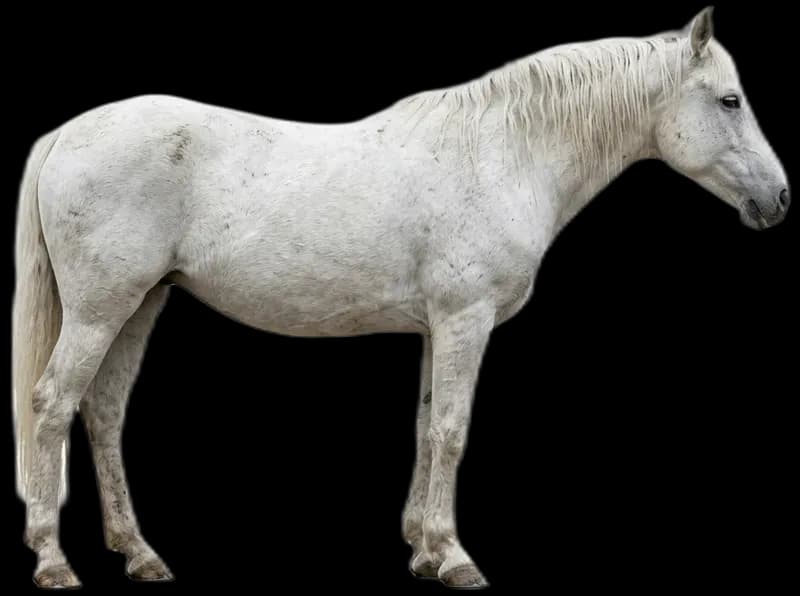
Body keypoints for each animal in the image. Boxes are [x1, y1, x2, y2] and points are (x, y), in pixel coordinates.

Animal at [12, 7, 789, 589]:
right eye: (730, 101)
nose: (779, 199)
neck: (504, 154)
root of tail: (67, 134)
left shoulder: (435, 329)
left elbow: (424, 428)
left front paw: (422, 548)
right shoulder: (466, 321)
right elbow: (451, 431)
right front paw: (455, 558)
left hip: (139, 304)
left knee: (103, 413)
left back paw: (139, 554)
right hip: (100, 310)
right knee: (52, 405)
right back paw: (53, 560)